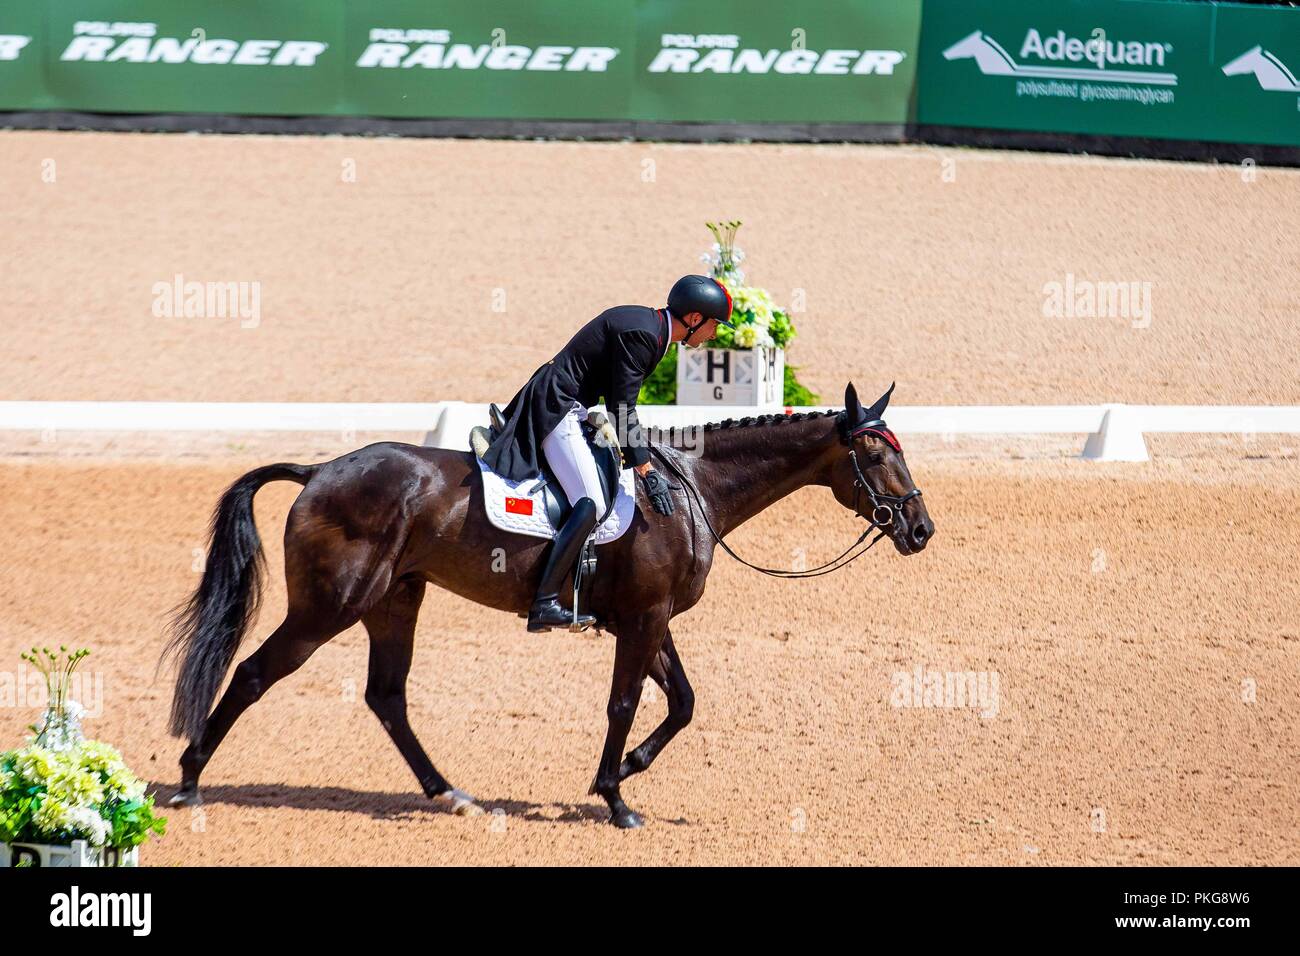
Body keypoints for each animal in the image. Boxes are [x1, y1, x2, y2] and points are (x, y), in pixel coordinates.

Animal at [165, 385, 935, 827]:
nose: (921, 530)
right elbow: (625, 704)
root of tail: (319, 471)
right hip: (331, 607)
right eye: (877, 456)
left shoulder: (649, 619)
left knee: (386, 696)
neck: (693, 491)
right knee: (254, 675)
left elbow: (684, 702)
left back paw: (450, 794)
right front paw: (615, 797)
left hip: (394, 600)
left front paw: (628, 770)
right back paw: (189, 782)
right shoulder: (644, 619)